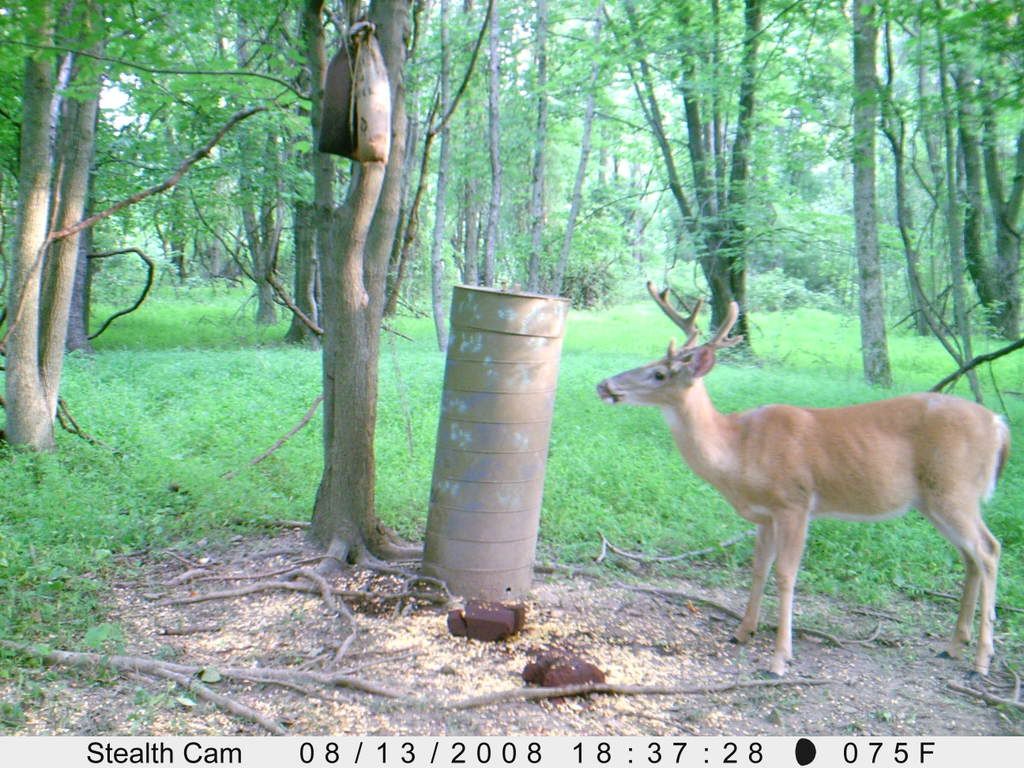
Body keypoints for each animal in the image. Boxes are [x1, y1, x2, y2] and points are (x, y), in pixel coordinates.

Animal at [596, 282, 1011, 677]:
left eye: (659, 374)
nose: (604, 385)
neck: (738, 448)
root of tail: (998, 425)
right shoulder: (765, 515)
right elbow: (758, 568)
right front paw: (742, 632)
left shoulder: (794, 502)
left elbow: (786, 574)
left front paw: (780, 659)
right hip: (934, 501)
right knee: (970, 557)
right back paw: (953, 647)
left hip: (955, 490)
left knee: (989, 550)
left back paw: (981, 661)